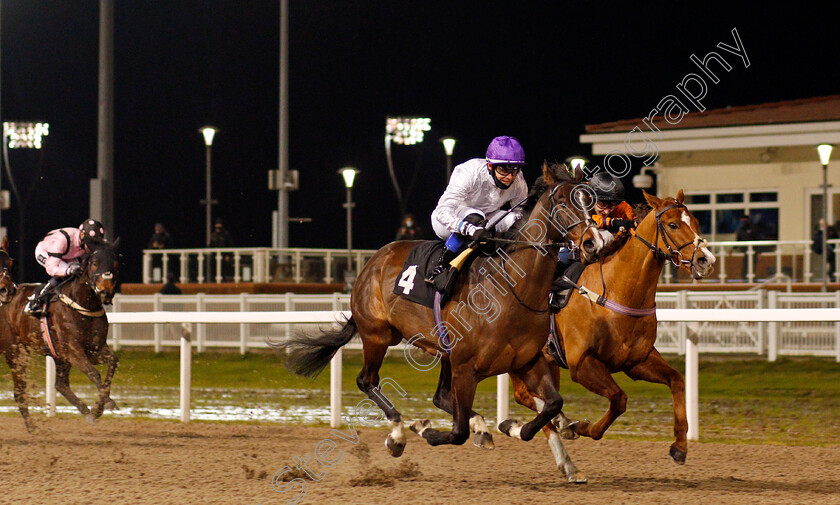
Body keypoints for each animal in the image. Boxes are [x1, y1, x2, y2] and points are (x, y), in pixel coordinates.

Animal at [0, 238, 121, 428]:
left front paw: (99, 406)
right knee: (21, 391)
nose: (106, 291)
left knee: (60, 384)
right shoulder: (73, 349)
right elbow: (94, 373)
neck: (83, 303)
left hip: (57, 355)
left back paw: (85, 411)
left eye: (115, 264)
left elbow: (113, 362)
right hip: (14, 351)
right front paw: (103, 404)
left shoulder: (94, 349)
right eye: (95, 263)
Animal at [282, 162, 604, 480]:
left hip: (441, 350)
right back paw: (398, 434)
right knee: (367, 381)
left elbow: (552, 404)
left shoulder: (527, 360)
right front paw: (427, 430)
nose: (594, 242)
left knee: (440, 397)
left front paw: (517, 427)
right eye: (562, 201)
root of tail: (372, 262)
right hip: (378, 335)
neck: (512, 289)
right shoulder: (466, 367)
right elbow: (458, 432)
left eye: (590, 200)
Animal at [506, 189, 716, 464]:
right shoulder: (582, 364)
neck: (618, 293)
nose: (706, 260)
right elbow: (619, 399)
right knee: (523, 395)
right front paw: (584, 427)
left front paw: (680, 446)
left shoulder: (636, 361)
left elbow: (677, 380)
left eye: (697, 222)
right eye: (672, 224)